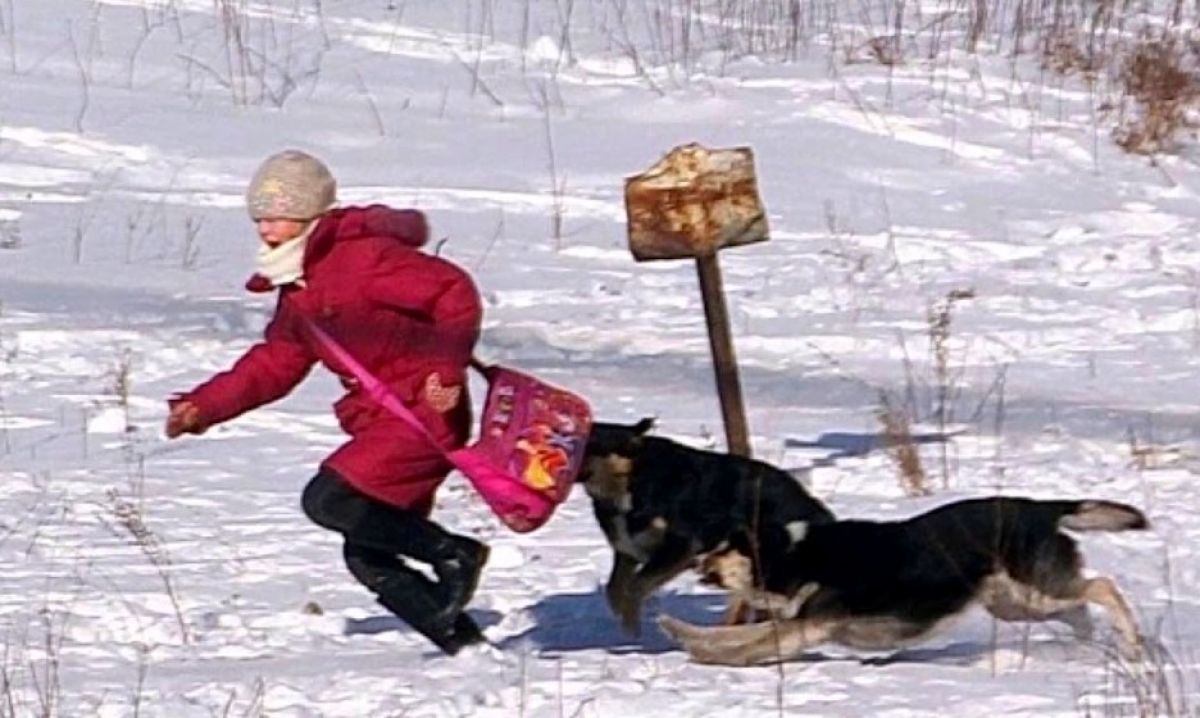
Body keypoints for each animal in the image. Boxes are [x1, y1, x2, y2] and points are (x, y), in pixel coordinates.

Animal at [662, 497, 1147, 667]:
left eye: (725, 548)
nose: (695, 559)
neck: (793, 554)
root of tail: (1044, 507)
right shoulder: (802, 620)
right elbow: (736, 633)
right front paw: (683, 634)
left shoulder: (811, 624)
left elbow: (750, 643)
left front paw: (712, 659)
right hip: (1013, 603)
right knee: (1079, 609)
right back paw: (1087, 647)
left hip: (1032, 591)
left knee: (1102, 586)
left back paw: (1132, 642)